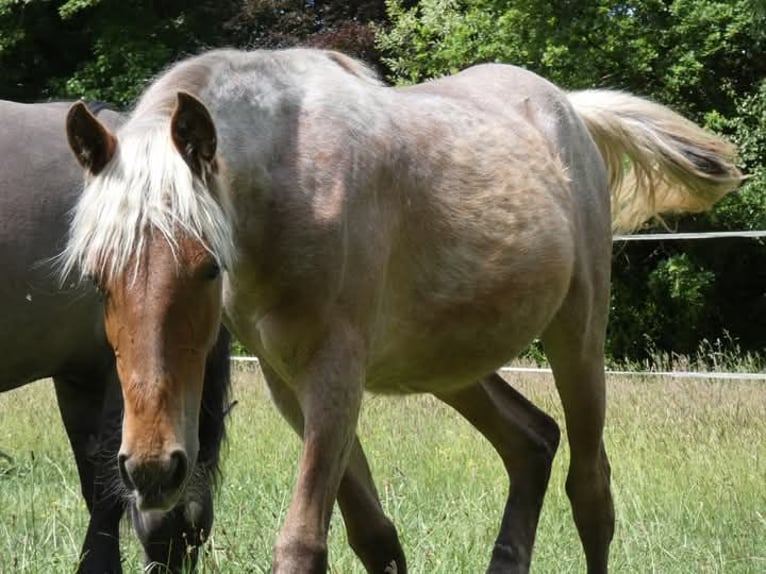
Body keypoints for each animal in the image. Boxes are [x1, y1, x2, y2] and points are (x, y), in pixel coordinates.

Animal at [0, 99, 232, 573]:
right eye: (96, 278)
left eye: (209, 269)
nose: (174, 562)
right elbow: (106, 485)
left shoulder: (80, 374)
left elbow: (96, 478)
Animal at [60, 48, 741, 573]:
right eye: (96, 278)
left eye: (207, 268)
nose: (153, 469)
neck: (294, 185)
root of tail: (568, 107)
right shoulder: (290, 383)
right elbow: (374, 537)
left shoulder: (335, 375)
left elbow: (303, 543)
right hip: (451, 365)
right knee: (532, 441)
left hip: (578, 337)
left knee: (591, 489)